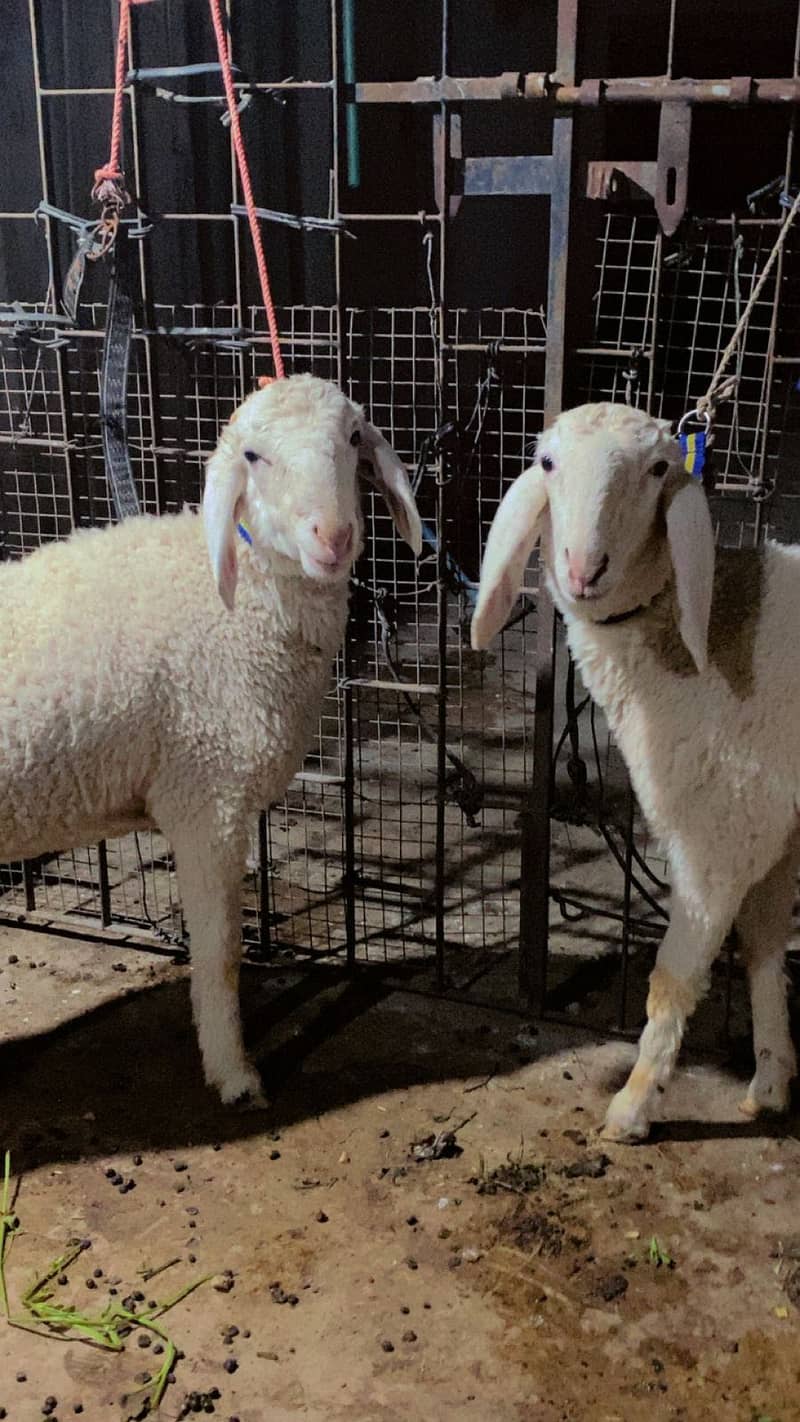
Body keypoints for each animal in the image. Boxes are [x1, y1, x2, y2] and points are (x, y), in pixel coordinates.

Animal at [0, 373, 422, 1107]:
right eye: (252, 455)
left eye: (352, 438)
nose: (334, 535)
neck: (246, 599)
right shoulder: (207, 795)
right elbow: (222, 952)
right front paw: (233, 1073)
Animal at [471, 400, 800, 1142]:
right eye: (546, 462)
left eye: (656, 469)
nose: (582, 568)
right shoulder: (776, 835)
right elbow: (764, 947)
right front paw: (768, 1083)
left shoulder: (723, 831)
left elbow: (672, 977)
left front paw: (633, 1105)